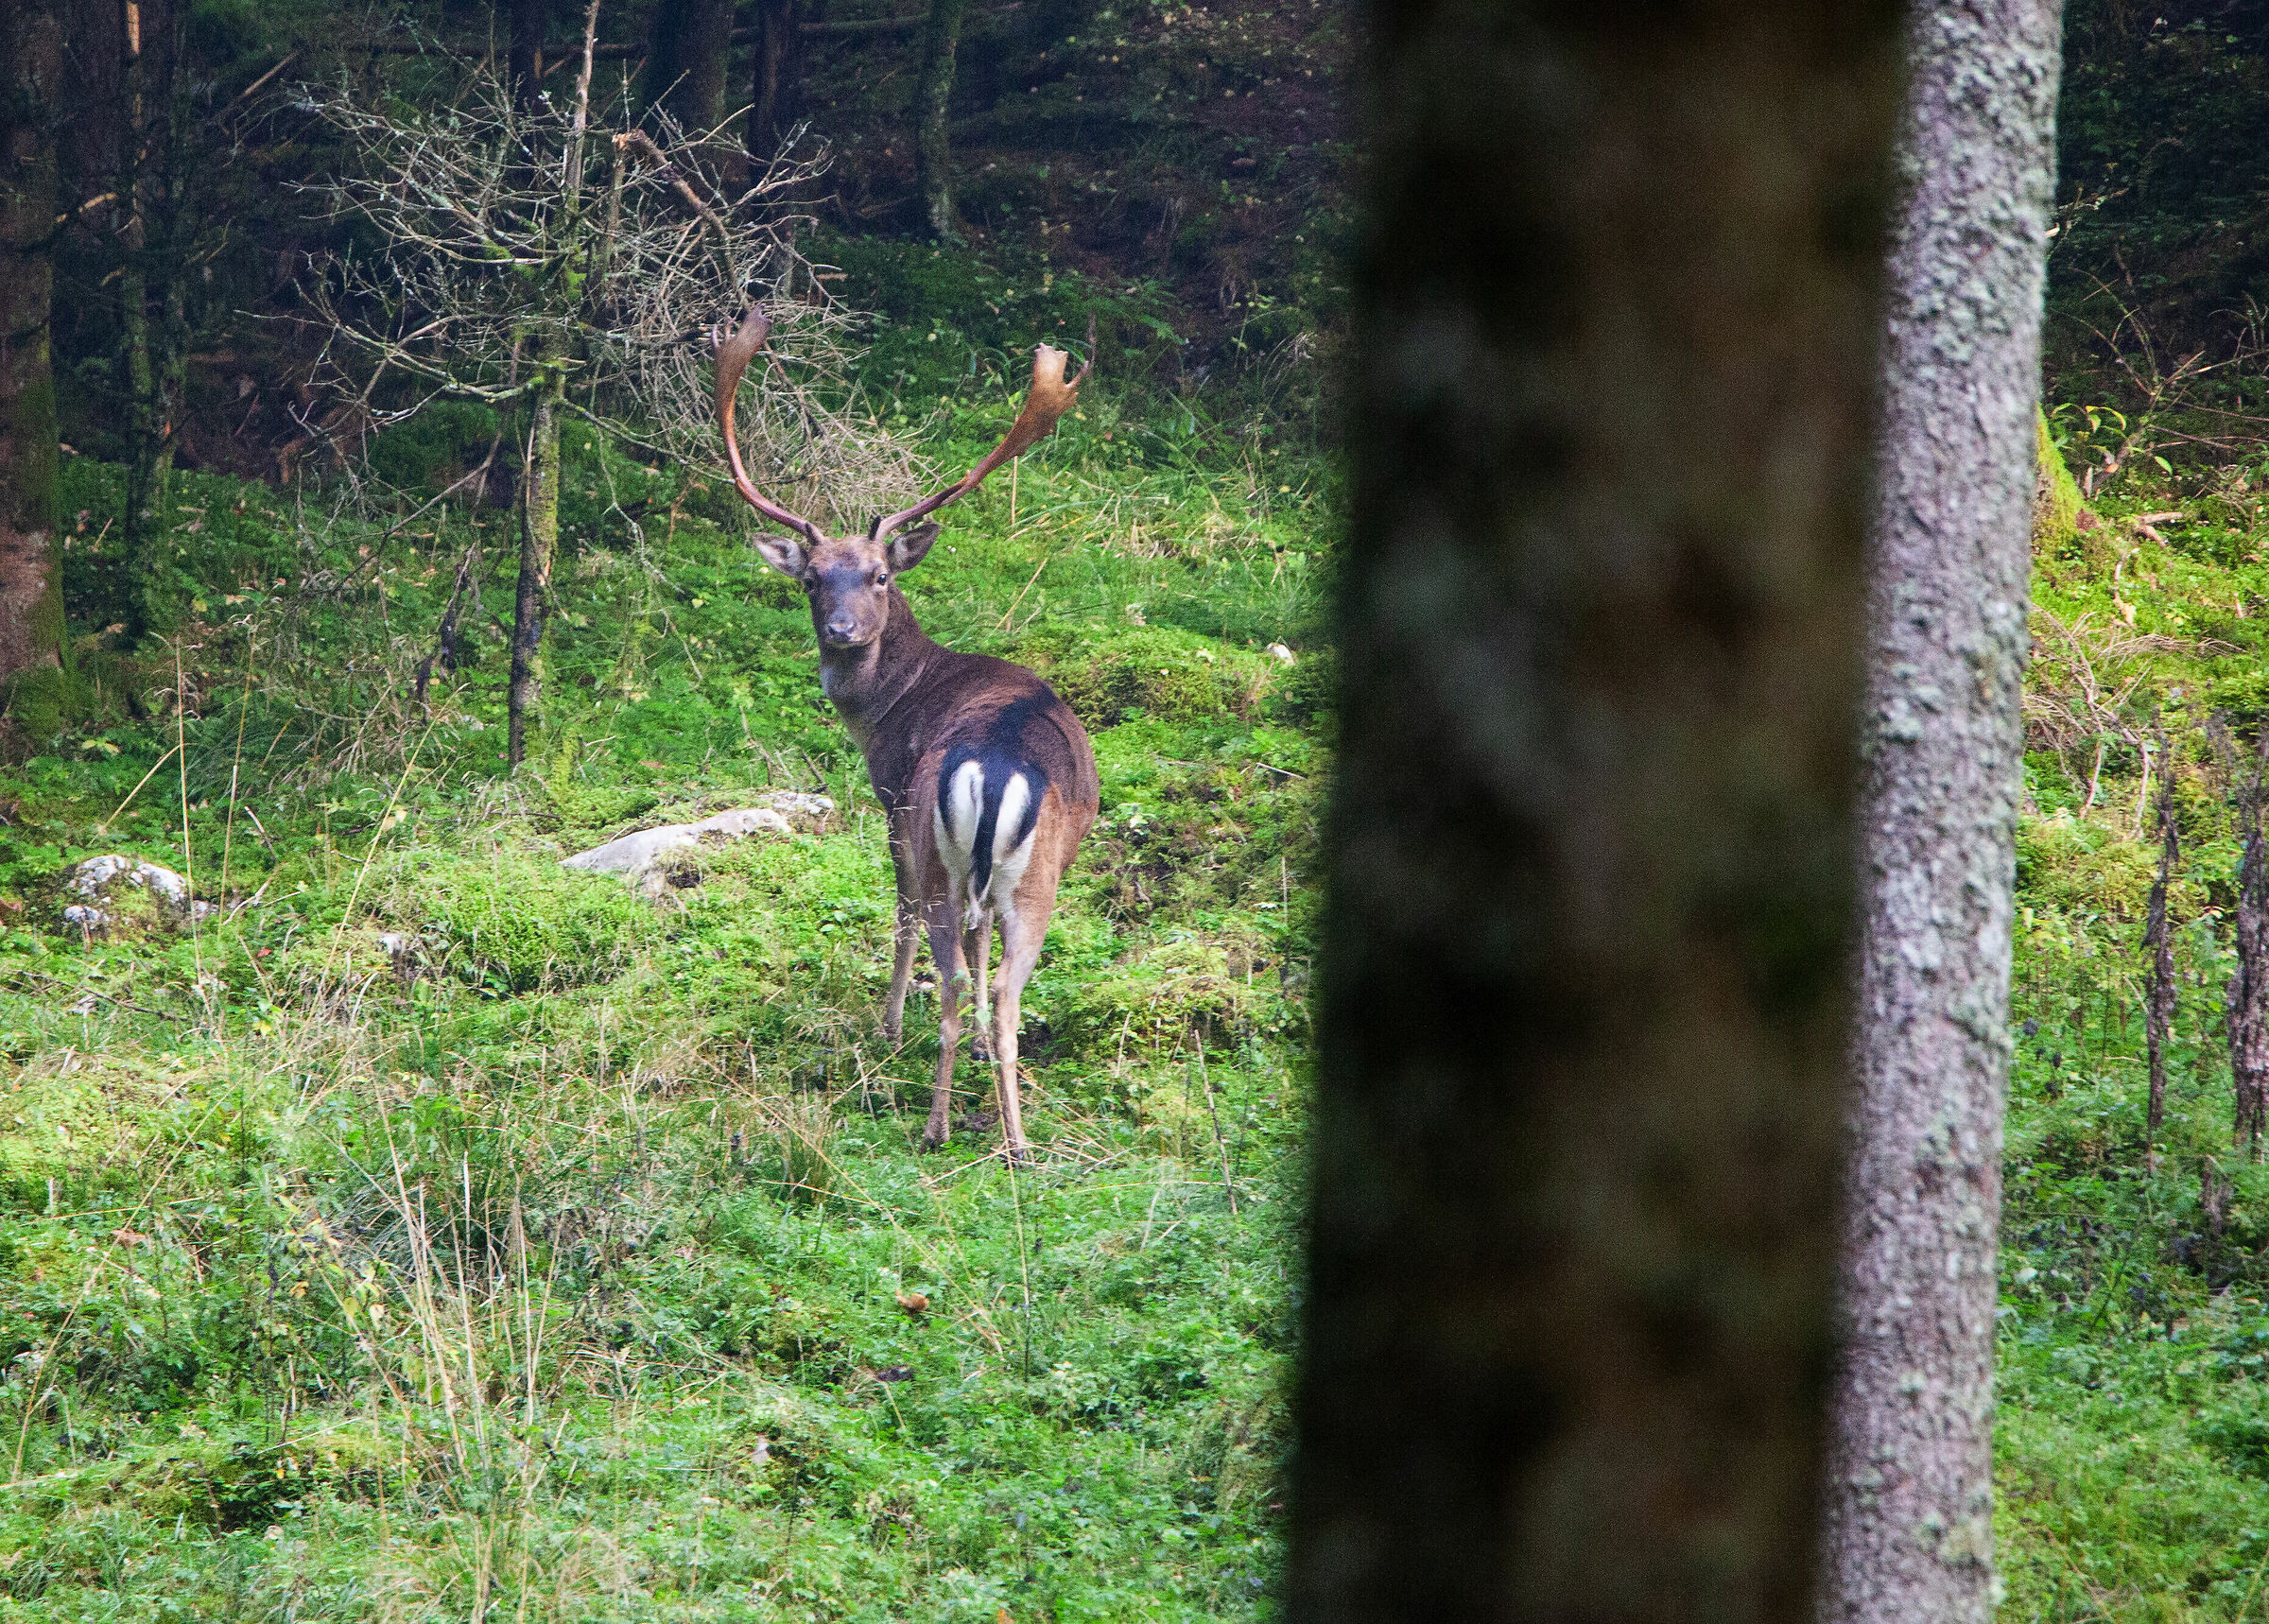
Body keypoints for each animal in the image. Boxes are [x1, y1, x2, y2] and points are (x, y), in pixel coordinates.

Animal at [711, 305, 1100, 1161]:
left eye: (879, 575)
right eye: (812, 579)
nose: (844, 631)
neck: (893, 708)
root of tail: (994, 767)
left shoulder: (898, 803)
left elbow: (913, 921)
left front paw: (907, 1031)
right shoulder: (901, 808)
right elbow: (919, 926)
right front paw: (905, 1030)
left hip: (969, 859)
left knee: (967, 965)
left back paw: (964, 1122)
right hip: (1003, 870)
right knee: (983, 974)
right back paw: (983, 1129)